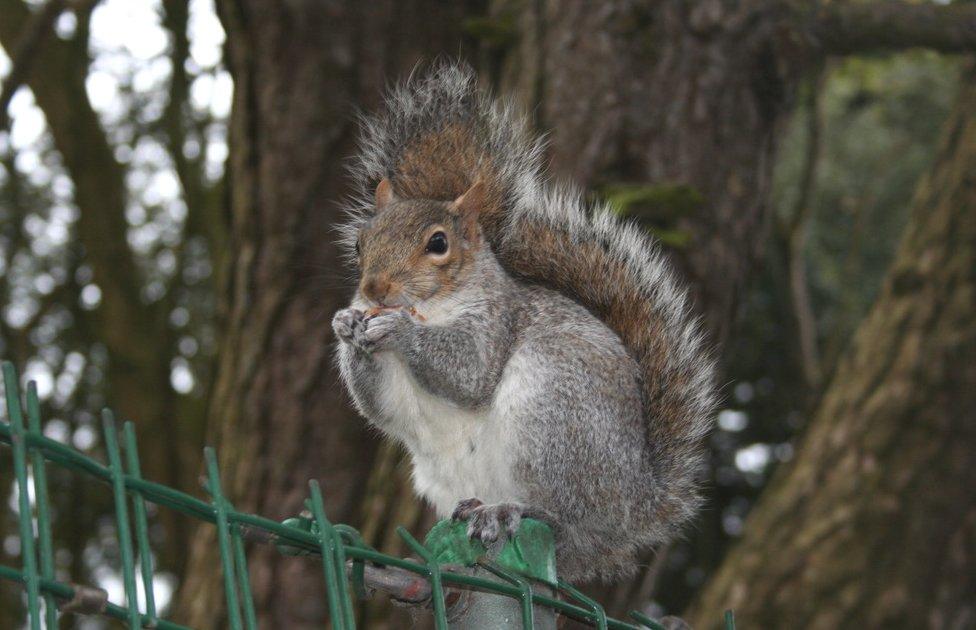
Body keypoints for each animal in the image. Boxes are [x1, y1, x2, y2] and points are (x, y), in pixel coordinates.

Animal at [330, 63, 716, 584]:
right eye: (360, 242)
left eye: (438, 243)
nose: (374, 290)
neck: (433, 306)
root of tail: (634, 510)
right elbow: (378, 404)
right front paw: (347, 326)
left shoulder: (496, 322)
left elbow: (469, 373)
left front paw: (400, 331)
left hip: (553, 417)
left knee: (563, 518)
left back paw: (513, 511)